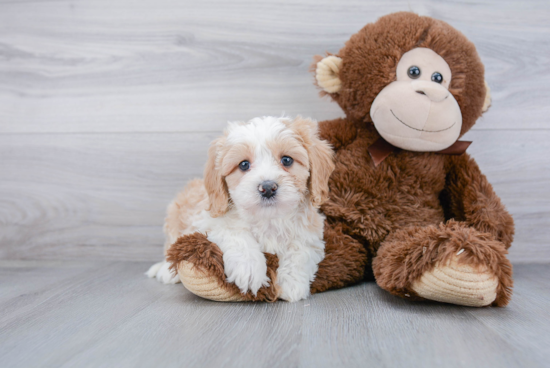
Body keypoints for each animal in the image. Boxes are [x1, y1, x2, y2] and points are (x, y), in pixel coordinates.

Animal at [148, 115, 336, 302]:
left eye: (287, 160)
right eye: (244, 165)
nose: (268, 187)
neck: (268, 218)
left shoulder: (311, 231)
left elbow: (300, 248)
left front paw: (293, 283)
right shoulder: (208, 221)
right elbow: (236, 234)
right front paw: (250, 270)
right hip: (175, 214)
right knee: (171, 245)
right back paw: (166, 271)